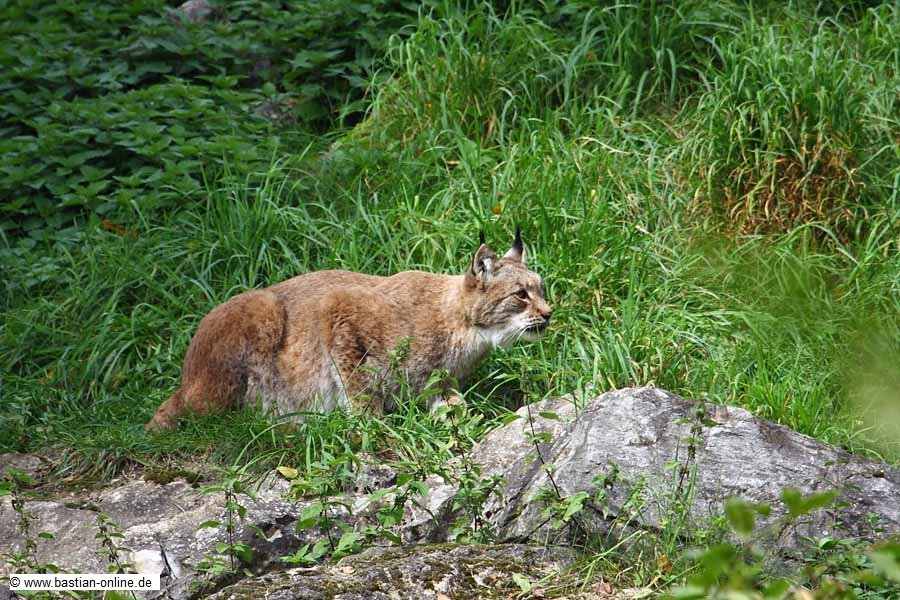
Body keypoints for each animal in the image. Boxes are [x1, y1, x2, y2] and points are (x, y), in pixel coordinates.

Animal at [145, 229, 552, 430]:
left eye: (542, 289)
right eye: (521, 295)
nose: (549, 314)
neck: (466, 330)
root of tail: (186, 375)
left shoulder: (437, 381)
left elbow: (453, 405)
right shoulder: (337, 308)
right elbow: (357, 384)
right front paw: (373, 426)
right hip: (262, 310)